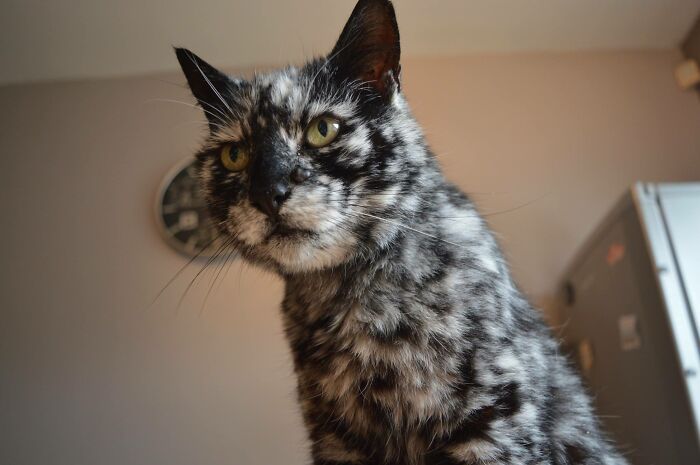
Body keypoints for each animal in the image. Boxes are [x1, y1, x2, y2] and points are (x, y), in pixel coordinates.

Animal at [175, 1, 628, 462]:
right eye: (234, 155)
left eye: (323, 130)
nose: (269, 192)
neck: (353, 298)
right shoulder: (336, 440)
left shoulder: (495, 422)